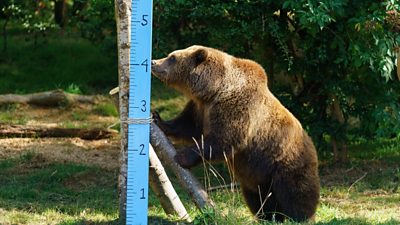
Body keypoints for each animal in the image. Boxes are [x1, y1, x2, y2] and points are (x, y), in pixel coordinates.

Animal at [152, 45, 320, 221]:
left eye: (172, 57)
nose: (154, 62)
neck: (213, 90)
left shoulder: (236, 107)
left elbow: (224, 140)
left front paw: (182, 156)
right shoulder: (201, 108)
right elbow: (188, 126)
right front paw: (157, 118)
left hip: (287, 163)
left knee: (297, 195)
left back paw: (301, 217)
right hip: (258, 178)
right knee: (260, 199)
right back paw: (268, 217)